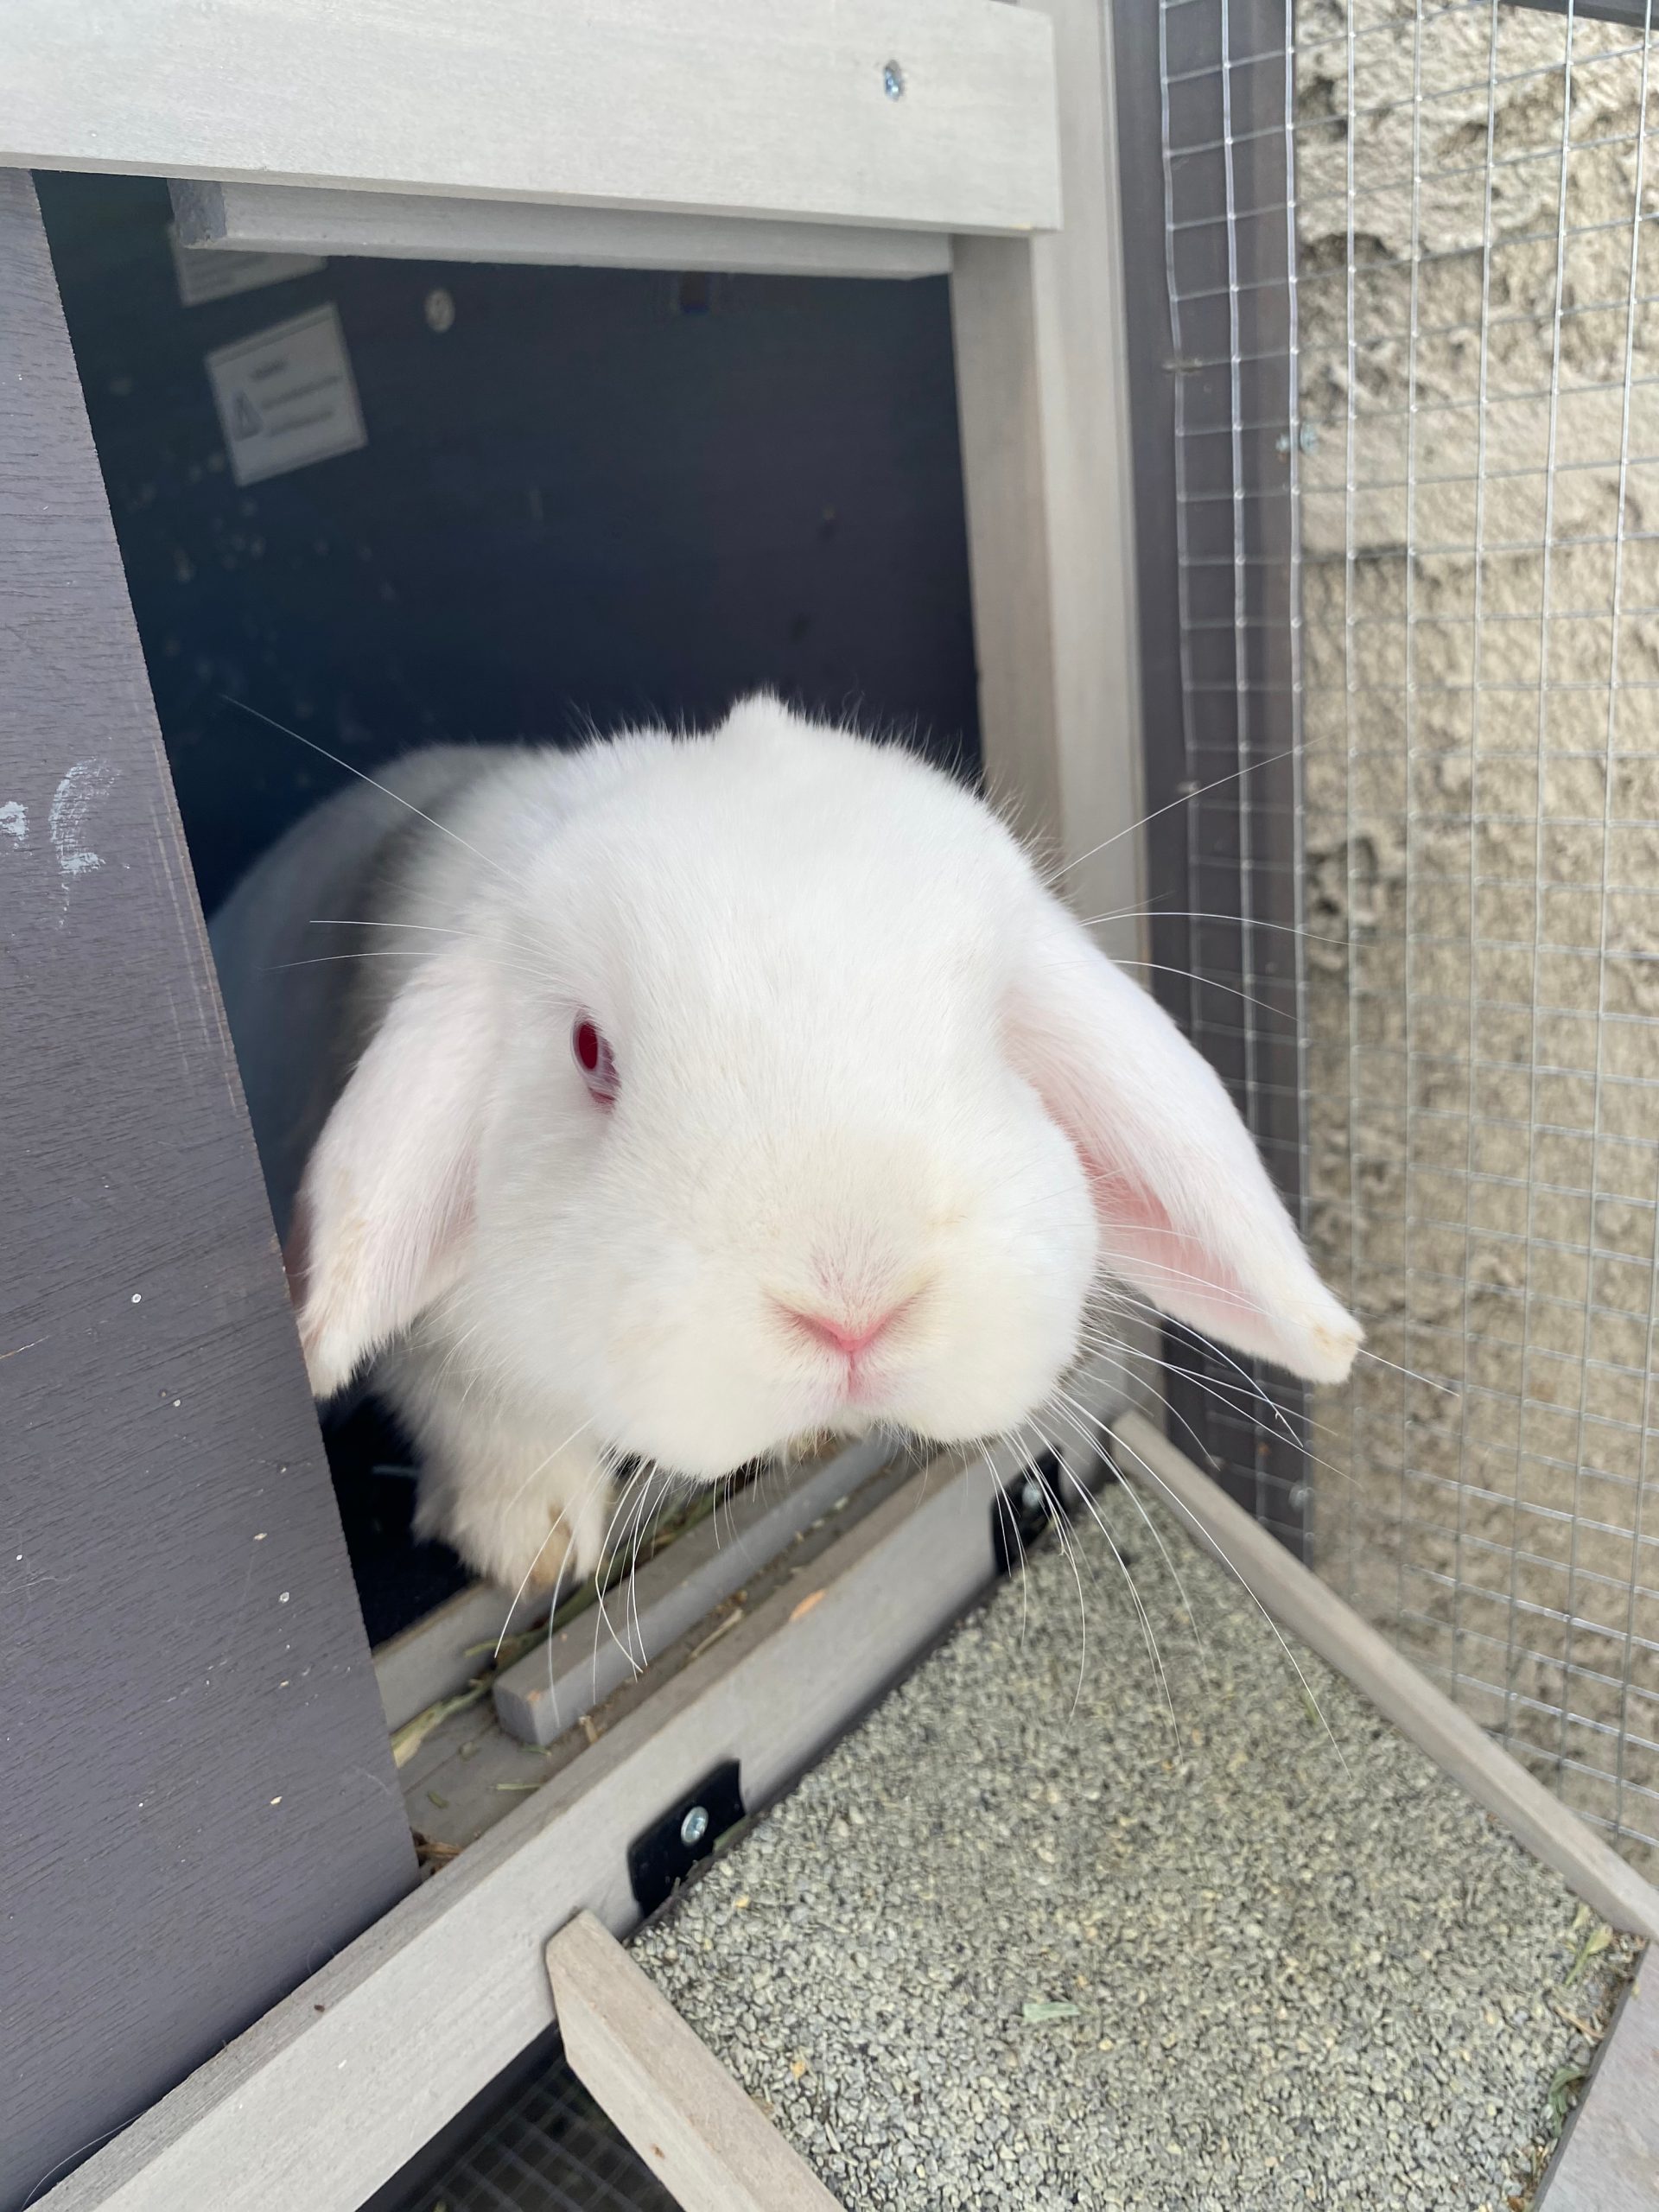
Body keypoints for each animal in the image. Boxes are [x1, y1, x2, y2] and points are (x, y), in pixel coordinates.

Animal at [214, 695, 1360, 1597]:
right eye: (590, 1050)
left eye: (998, 1028)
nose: (855, 1310)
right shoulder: (443, 1356)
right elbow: (483, 1421)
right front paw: (531, 1545)